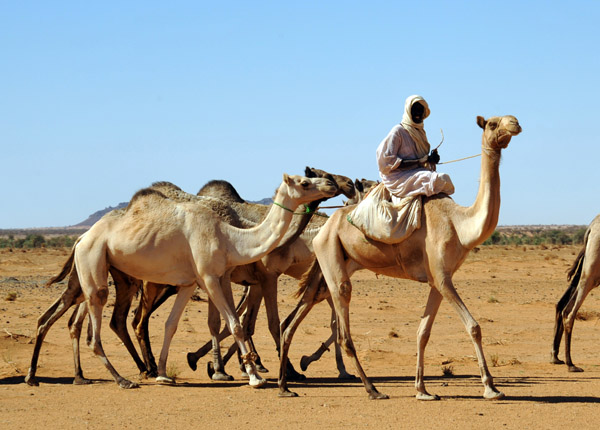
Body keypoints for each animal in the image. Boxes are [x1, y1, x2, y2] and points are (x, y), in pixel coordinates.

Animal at [278, 115, 524, 400]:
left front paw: (422, 389)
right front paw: (491, 388)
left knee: (295, 317)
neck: (459, 224)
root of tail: (323, 229)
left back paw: (285, 385)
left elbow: (422, 332)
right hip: (332, 259)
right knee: (343, 327)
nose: (515, 123)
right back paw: (372, 389)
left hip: (330, 266)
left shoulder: (438, 280)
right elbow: (473, 326)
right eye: (493, 124)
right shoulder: (442, 278)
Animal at [552, 214, 600, 370]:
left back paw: (556, 357)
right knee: (569, 311)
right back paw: (571, 364)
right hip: (592, 270)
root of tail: (590, 227)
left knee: (561, 304)